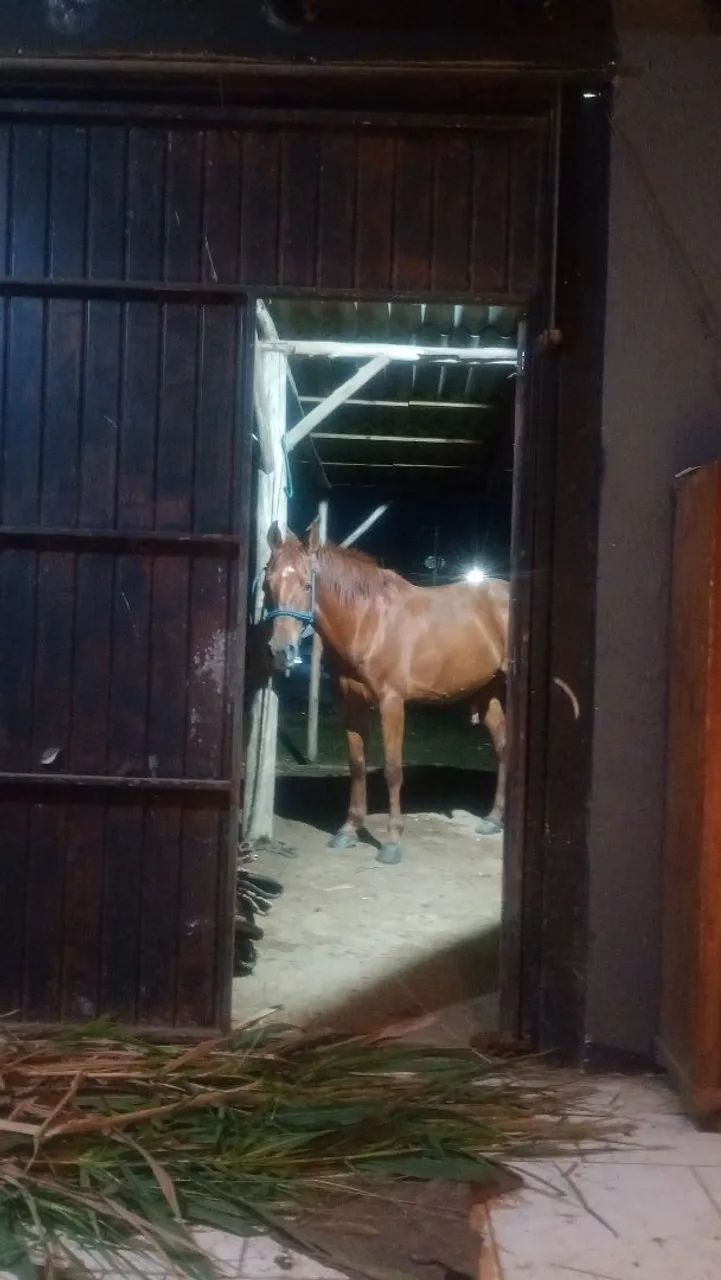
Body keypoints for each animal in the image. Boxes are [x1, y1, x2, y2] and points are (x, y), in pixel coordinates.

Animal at [262, 520, 509, 865]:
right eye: (267, 582)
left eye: (306, 584)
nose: (281, 650)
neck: (368, 621)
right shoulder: (351, 703)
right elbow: (357, 764)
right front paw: (349, 830)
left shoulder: (391, 702)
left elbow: (393, 770)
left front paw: (392, 842)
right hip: (488, 693)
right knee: (502, 747)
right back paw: (493, 818)